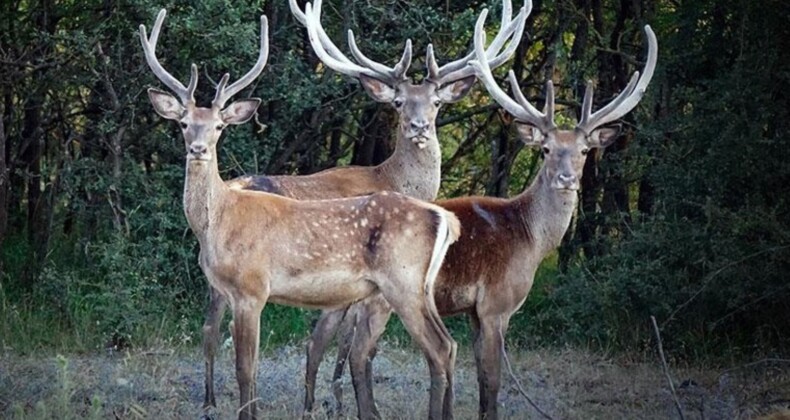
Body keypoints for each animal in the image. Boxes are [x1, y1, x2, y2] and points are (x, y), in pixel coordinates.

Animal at [141, 9, 464, 420]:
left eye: (218, 126)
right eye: (183, 123)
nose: (198, 149)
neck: (220, 223)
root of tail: (444, 219)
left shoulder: (252, 288)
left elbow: (246, 369)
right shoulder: (231, 290)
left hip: (402, 281)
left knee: (437, 348)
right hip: (418, 287)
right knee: (449, 345)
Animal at [310, 9, 664, 420]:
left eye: (583, 150)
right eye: (545, 149)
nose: (566, 179)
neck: (529, 238)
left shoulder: (474, 312)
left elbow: (479, 375)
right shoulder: (497, 304)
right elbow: (492, 379)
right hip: (384, 296)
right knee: (360, 353)